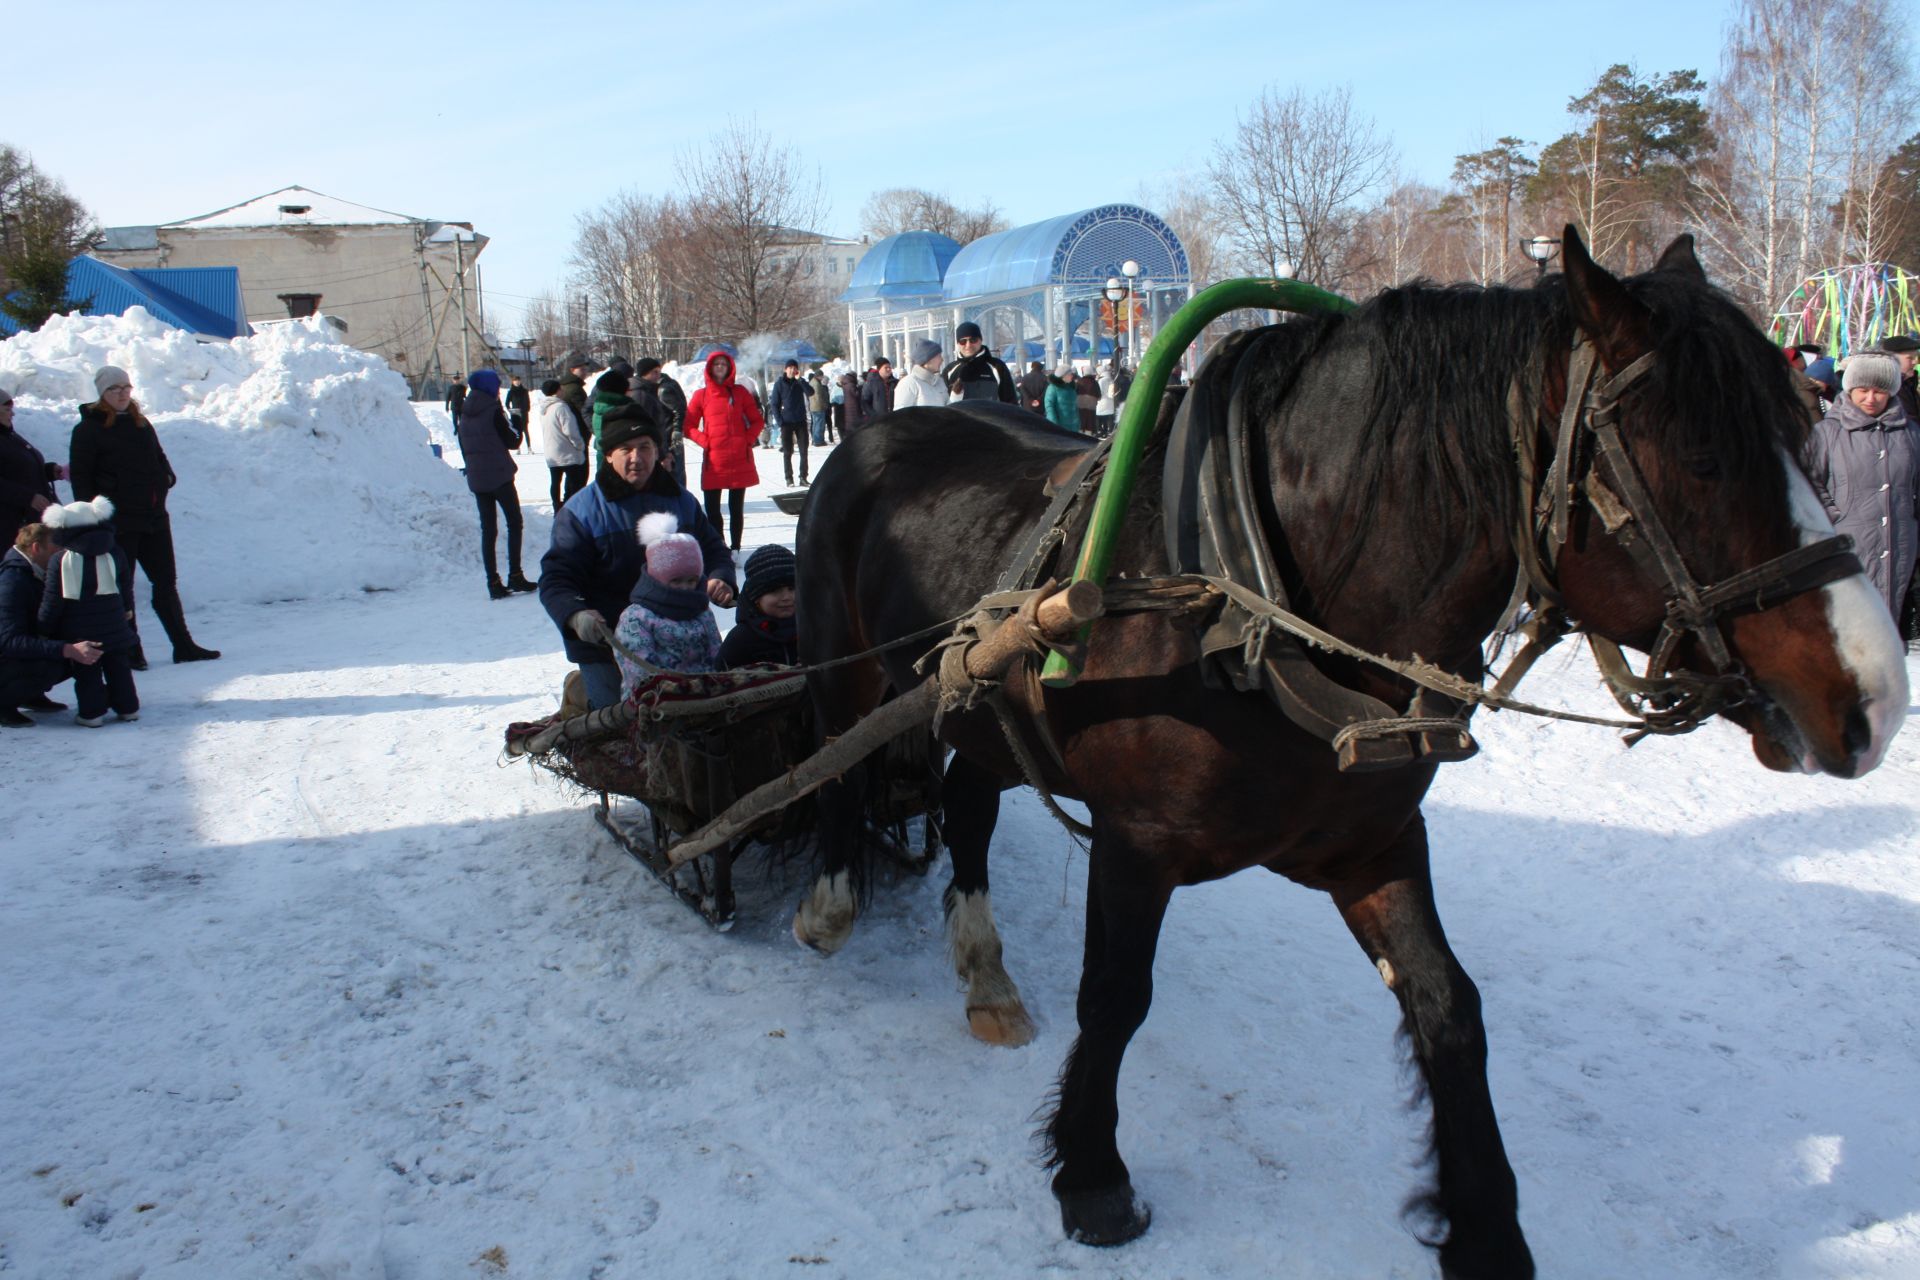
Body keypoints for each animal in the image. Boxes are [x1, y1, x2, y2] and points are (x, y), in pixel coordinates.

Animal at [783, 233, 1904, 1280]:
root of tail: (878, 429)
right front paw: (1094, 1175)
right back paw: (829, 900)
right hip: (847, 668)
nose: (1877, 701)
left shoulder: (1372, 840)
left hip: (978, 695)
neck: (1245, 602)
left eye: (1805, 437)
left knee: (970, 795)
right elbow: (1115, 997)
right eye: (1702, 461)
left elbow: (1450, 1008)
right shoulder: (1137, 844)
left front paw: (1483, 1225)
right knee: (833, 768)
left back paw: (983, 969)